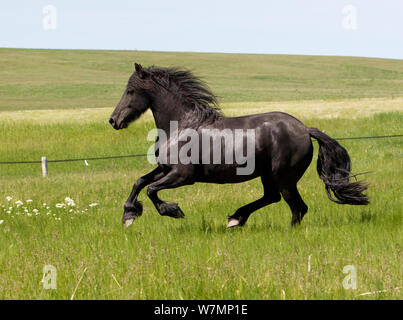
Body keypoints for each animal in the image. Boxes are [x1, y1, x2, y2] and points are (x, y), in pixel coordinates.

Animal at [109, 62, 370, 228]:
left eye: (130, 91)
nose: (114, 120)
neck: (181, 125)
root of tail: (305, 129)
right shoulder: (164, 169)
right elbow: (140, 182)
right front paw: (129, 214)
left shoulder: (182, 176)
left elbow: (152, 190)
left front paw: (173, 211)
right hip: (268, 175)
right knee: (273, 198)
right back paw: (236, 218)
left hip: (284, 177)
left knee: (297, 207)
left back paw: (278, 230)